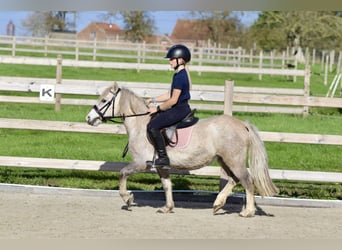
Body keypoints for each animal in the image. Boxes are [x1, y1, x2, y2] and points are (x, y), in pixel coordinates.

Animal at [85, 83, 278, 217]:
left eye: (104, 101)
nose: (89, 118)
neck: (140, 125)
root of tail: (242, 124)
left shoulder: (140, 164)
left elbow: (123, 173)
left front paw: (127, 199)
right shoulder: (161, 166)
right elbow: (167, 185)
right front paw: (167, 207)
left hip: (234, 160)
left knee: (247, 181)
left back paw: (247, 212)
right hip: (224, 159)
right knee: (234, 179)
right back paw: (218, 204)